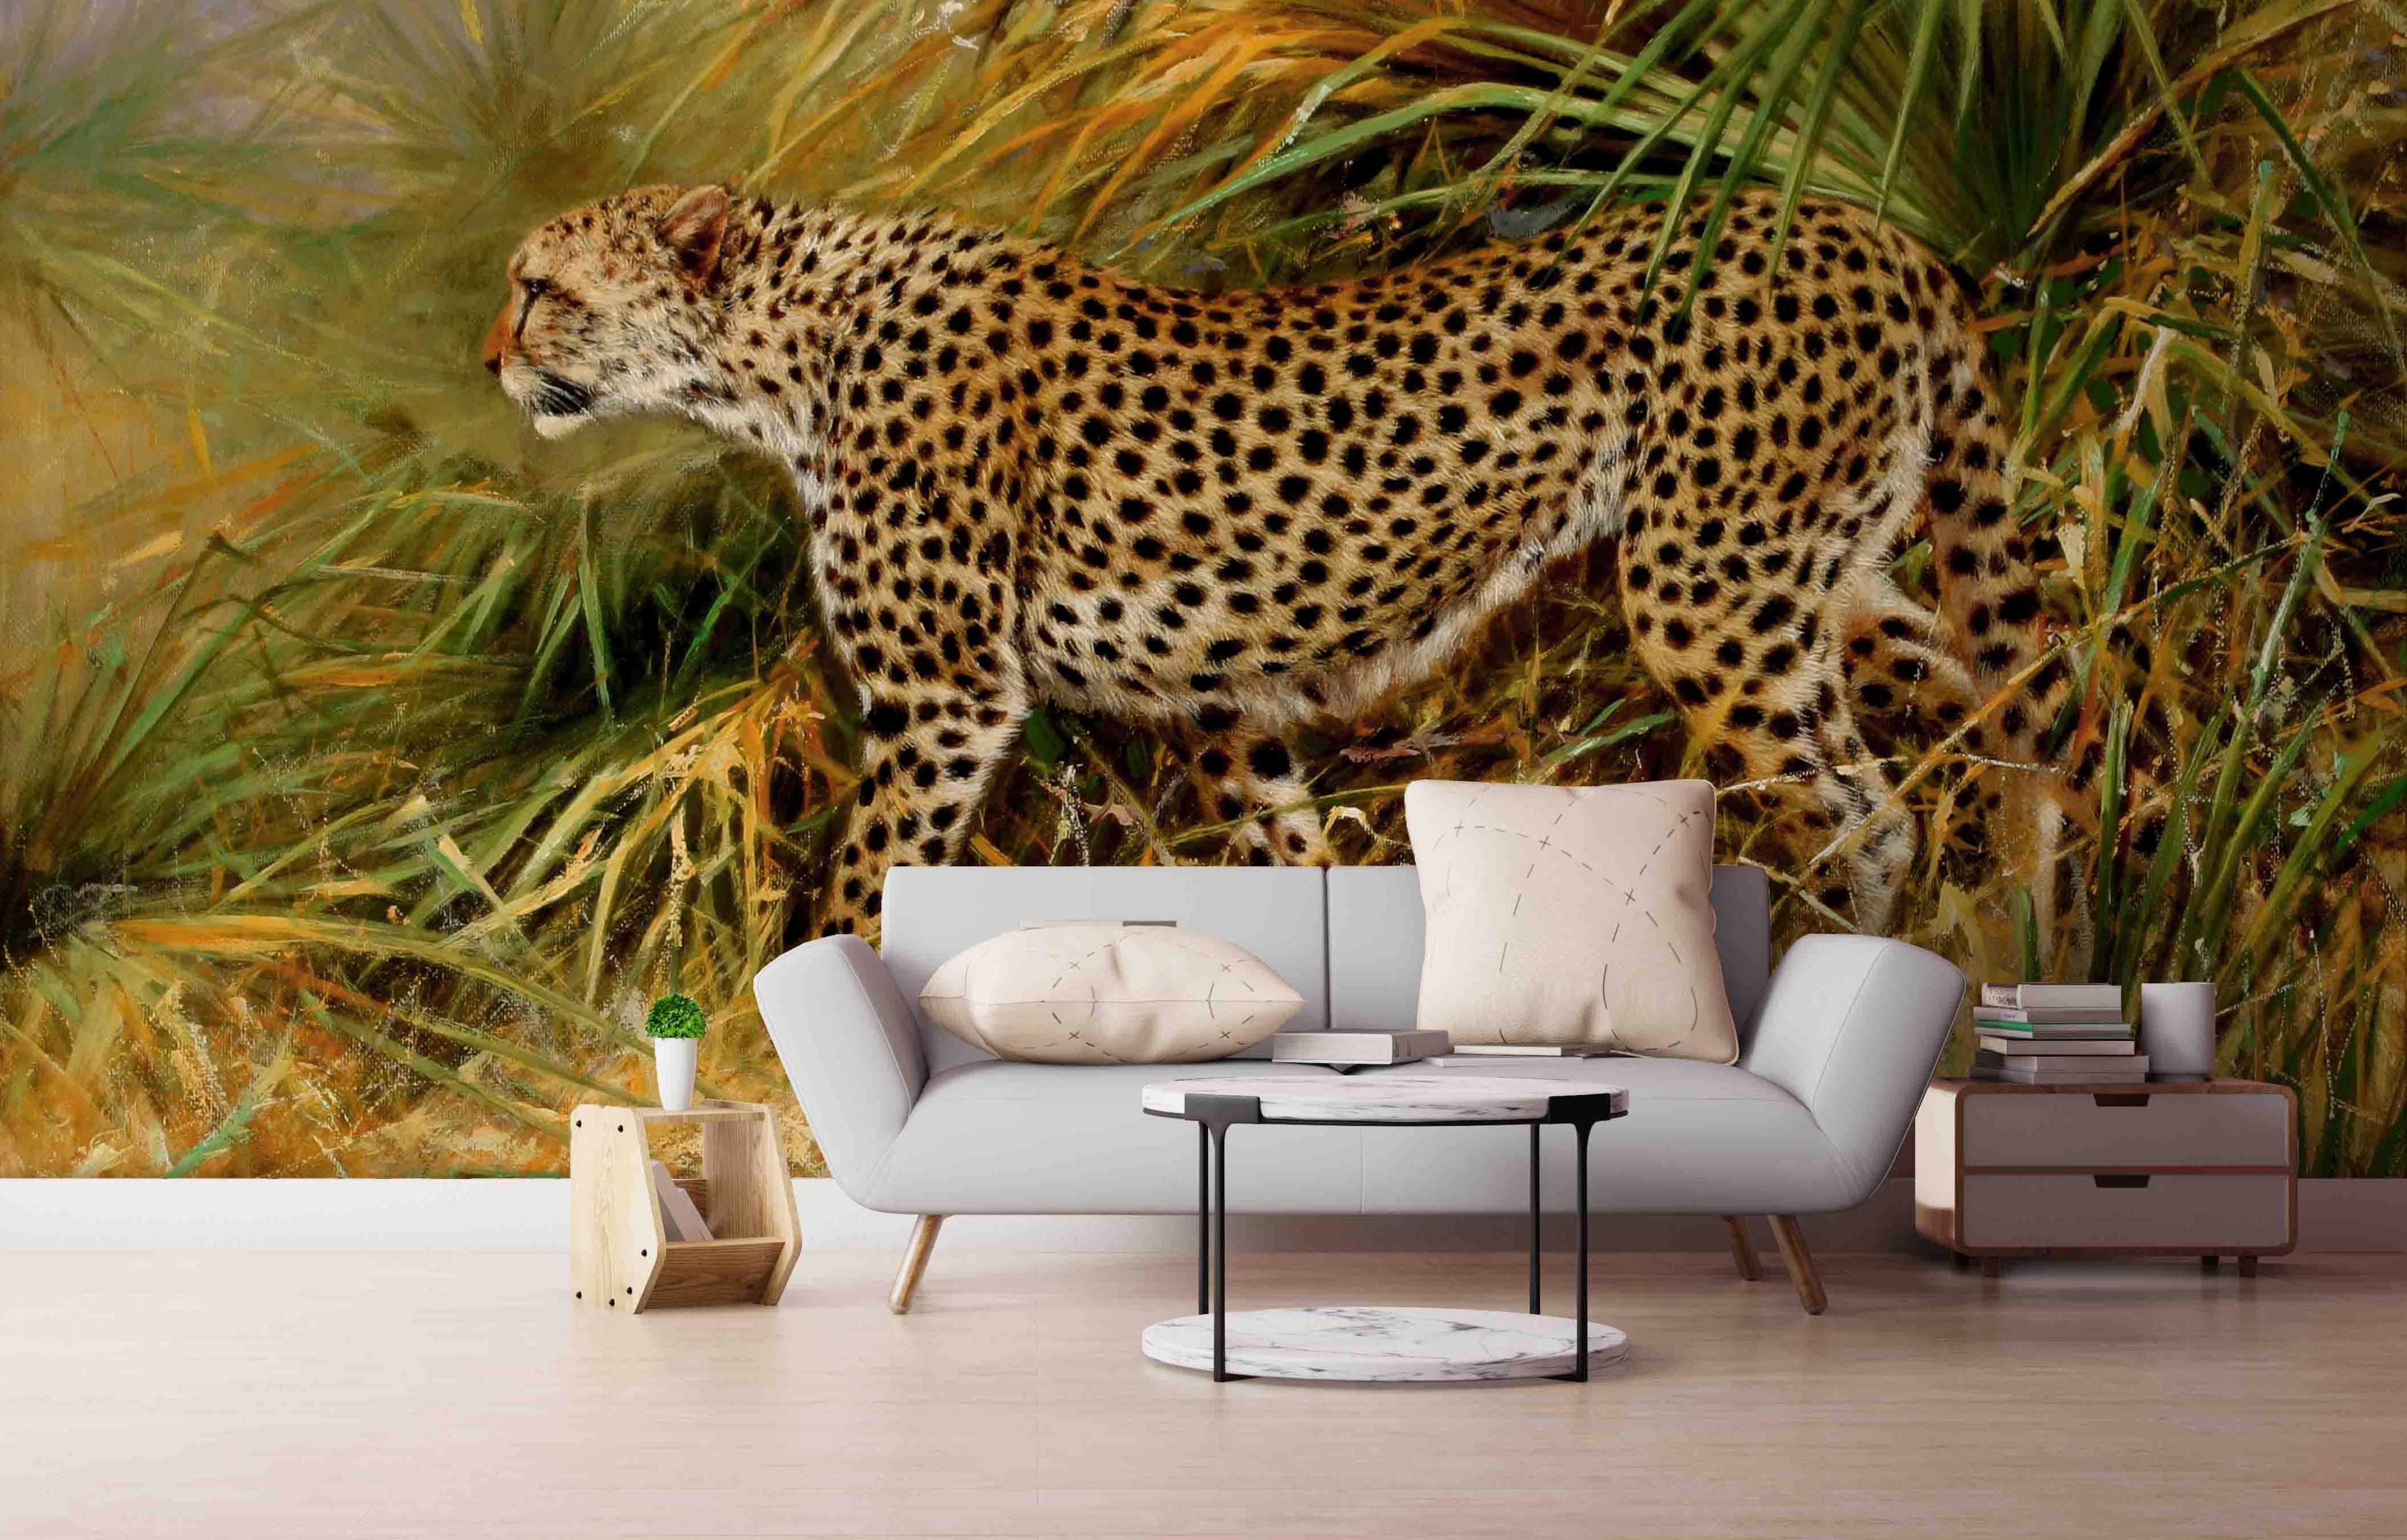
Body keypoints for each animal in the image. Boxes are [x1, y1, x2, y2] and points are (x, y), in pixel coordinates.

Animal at [485, 182, 2068, 942]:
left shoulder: (943, 704)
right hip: (1826, 574)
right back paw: (2011, 941)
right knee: (2009, 713)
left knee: (1867, 818)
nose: (491, 358)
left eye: (539, 287)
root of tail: (1856, 222)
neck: (779, 352)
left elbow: (857, 888)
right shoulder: (1220, 711)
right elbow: (1286, 876)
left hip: (1710, 596)